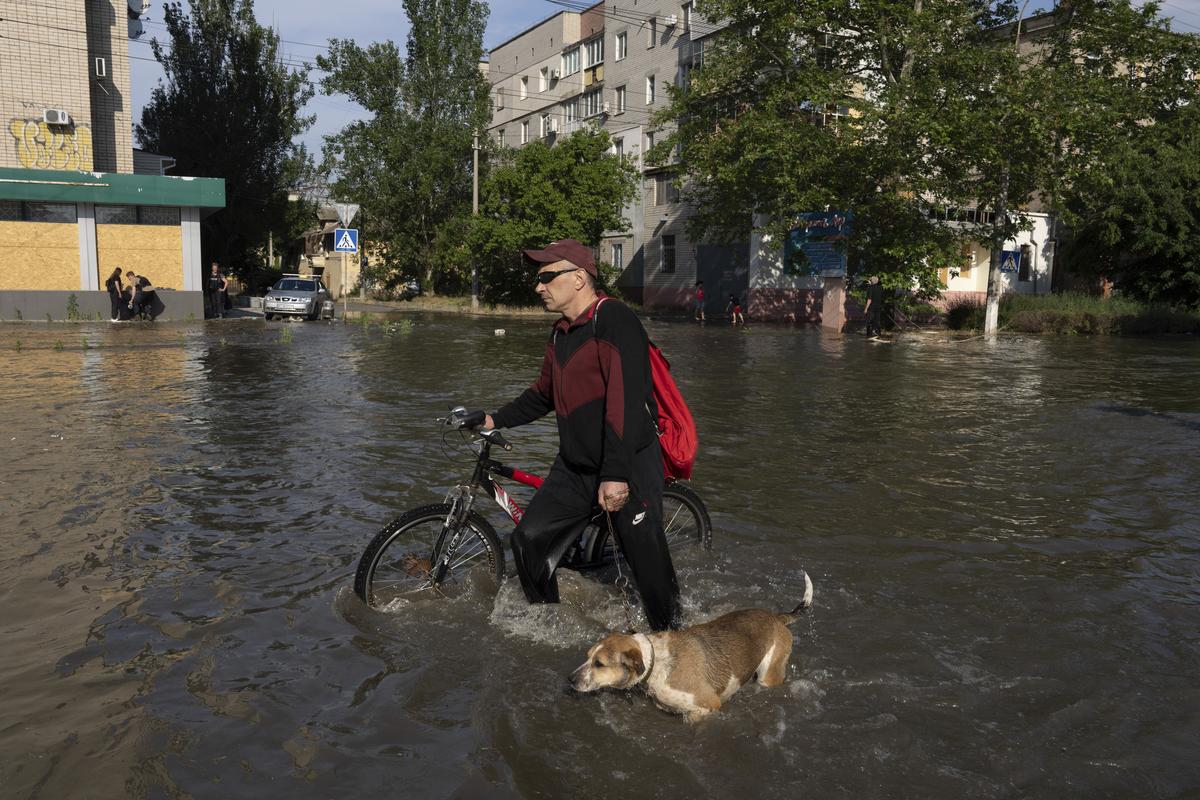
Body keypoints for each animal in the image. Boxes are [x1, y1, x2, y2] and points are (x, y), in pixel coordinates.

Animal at [571, 568, 816, 719]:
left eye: (600, 664)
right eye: (588, 656)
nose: (570, 679)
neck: (656, 661)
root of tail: (777, 617)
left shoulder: (708, 706)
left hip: (769, 676)